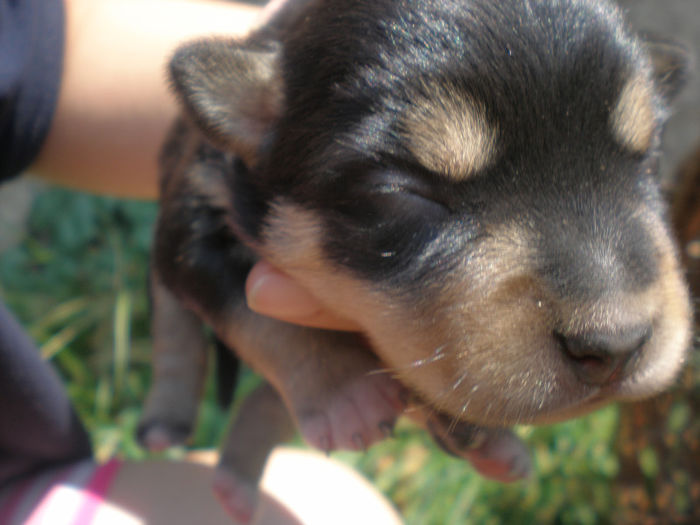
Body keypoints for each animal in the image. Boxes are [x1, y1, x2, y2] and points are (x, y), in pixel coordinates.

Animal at [135, 0, 688, 516]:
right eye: (403, 193)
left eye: (647, 160)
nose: (617, 346)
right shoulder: (194, 211)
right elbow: (257, 316)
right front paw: (345, 392)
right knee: (172, 316)